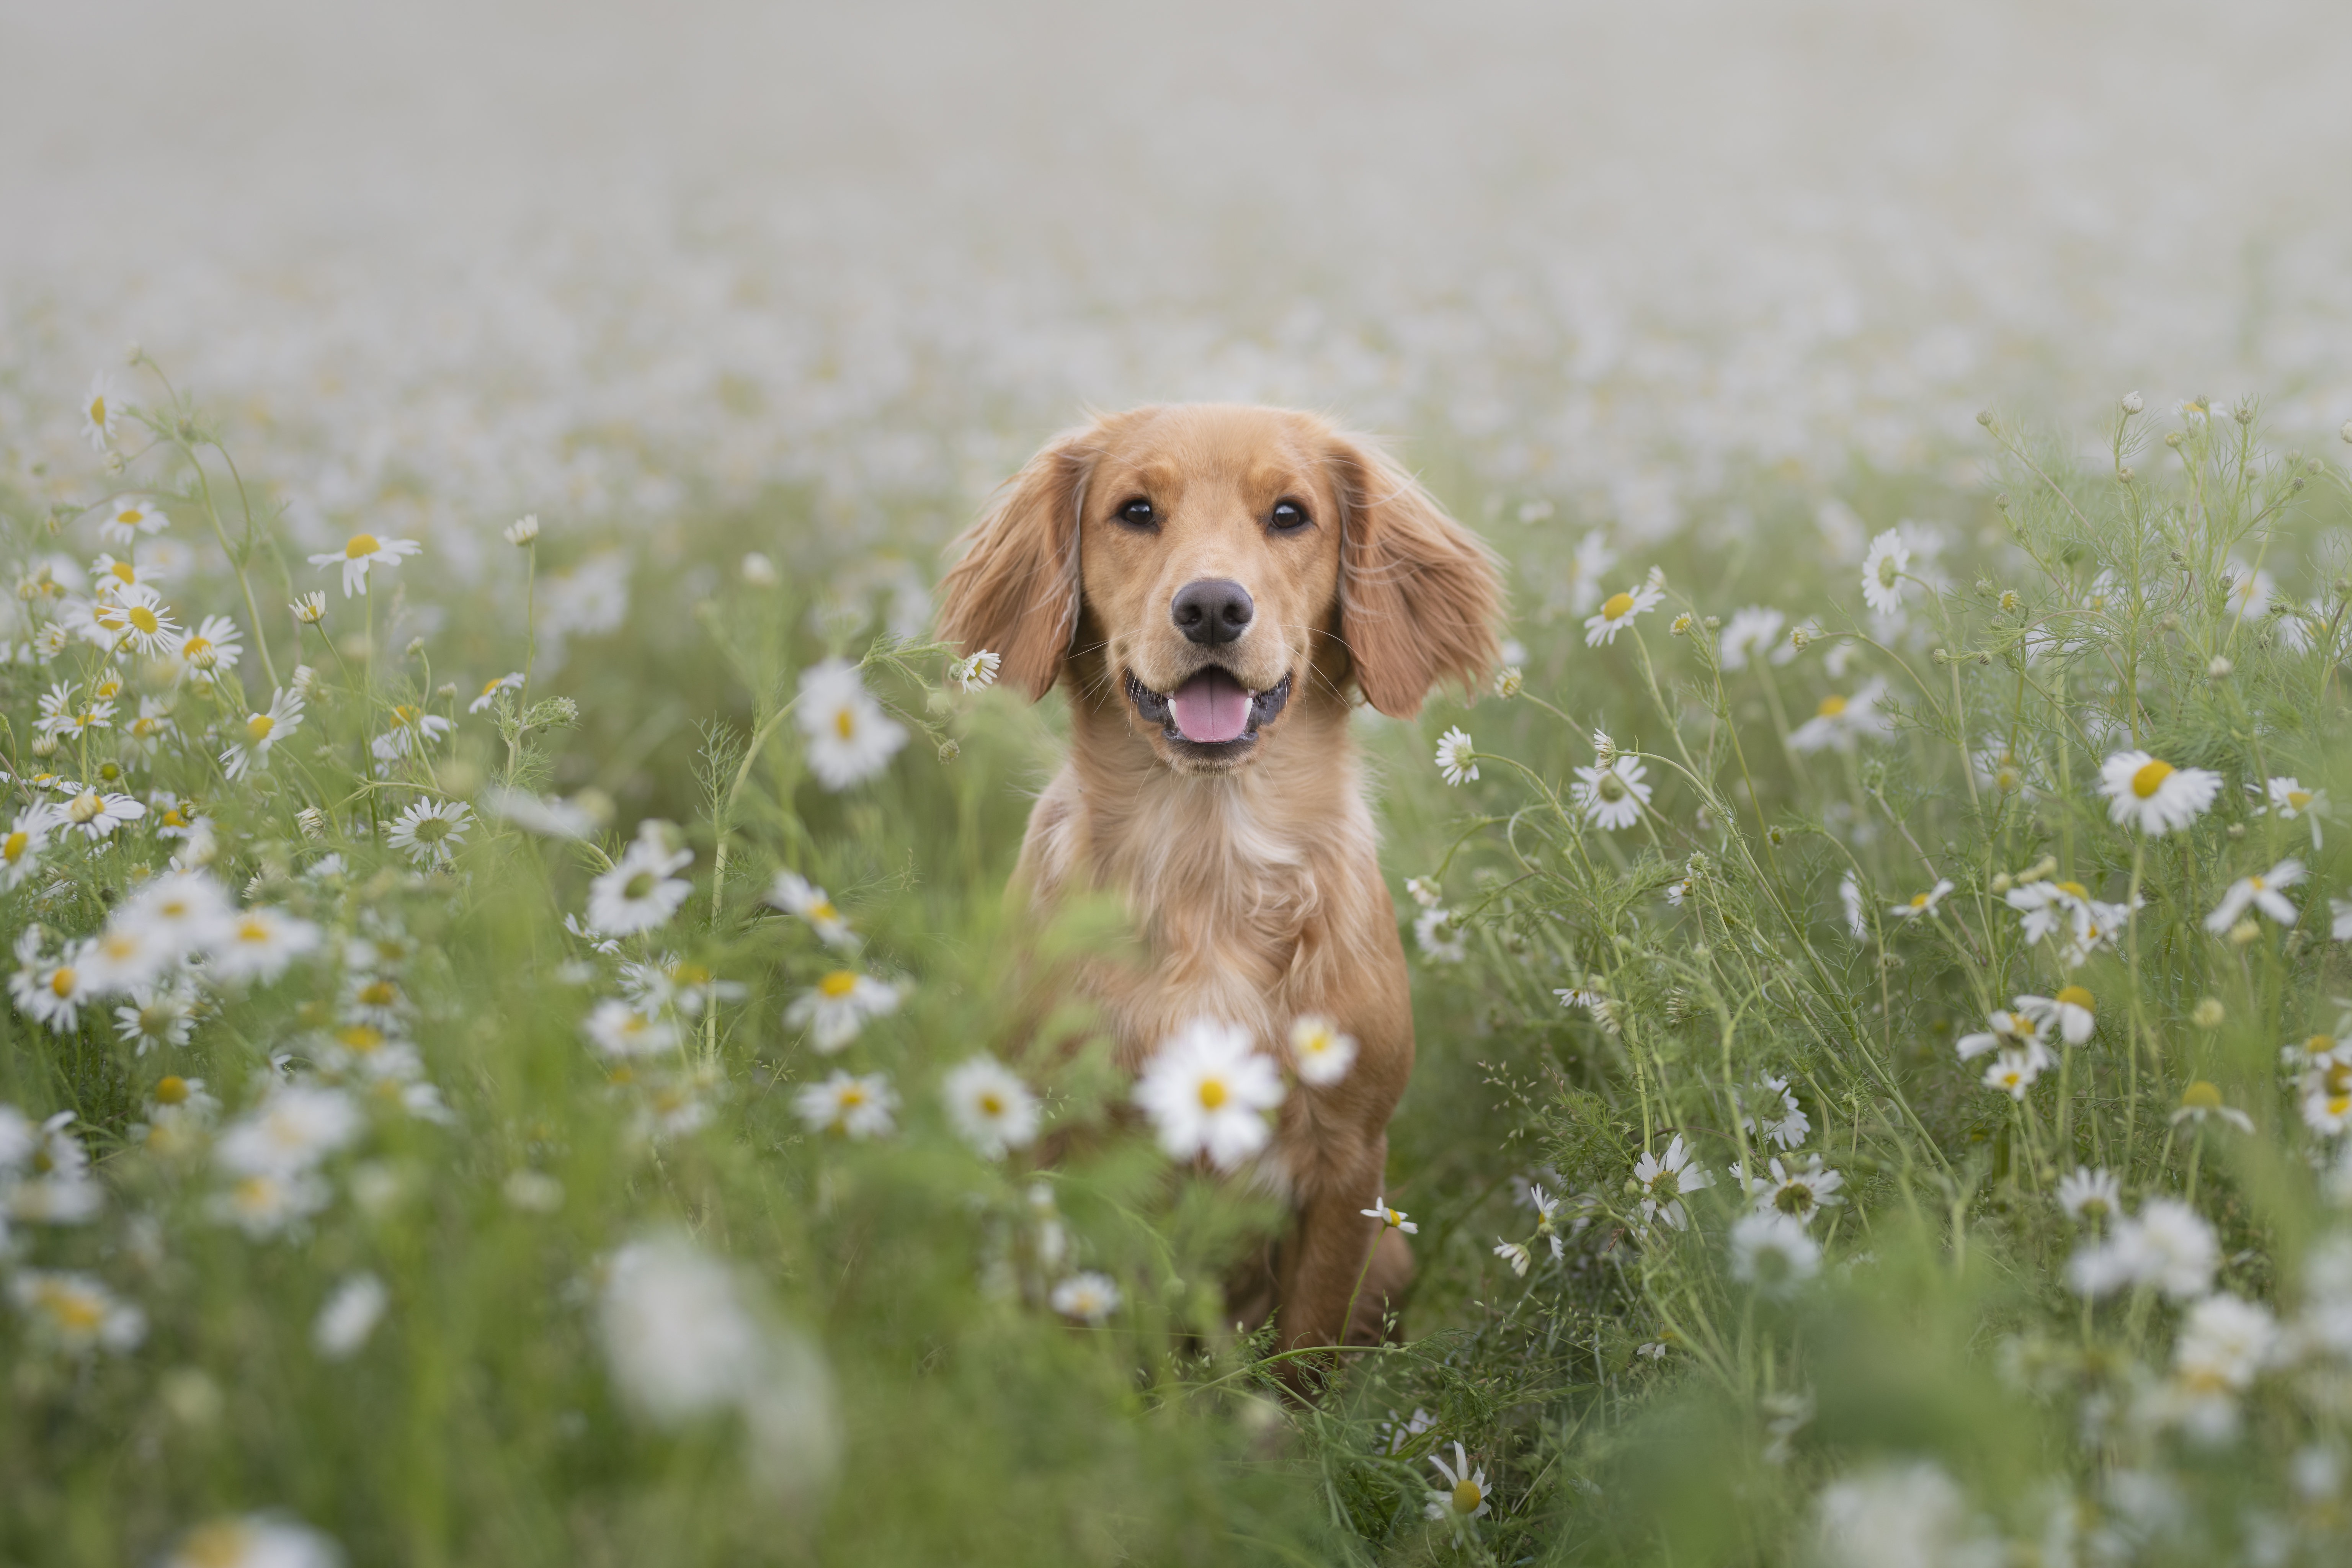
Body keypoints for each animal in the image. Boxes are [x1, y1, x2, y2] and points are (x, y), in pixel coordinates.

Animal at [931, 409, 1496, 1373]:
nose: (1211, 607)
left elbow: (1304, 1357)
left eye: (1289, 513)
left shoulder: (1349, 1162)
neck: (1208, 862)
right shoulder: (1060, 1153)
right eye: (1134, 510)